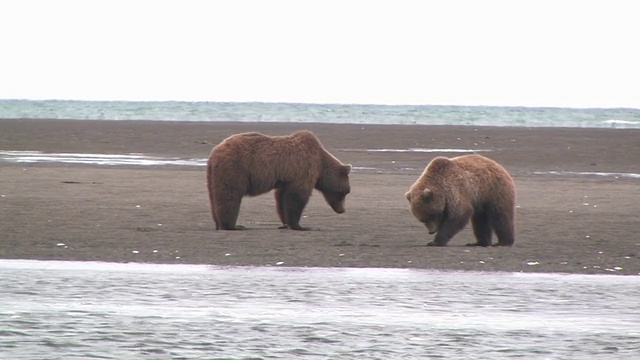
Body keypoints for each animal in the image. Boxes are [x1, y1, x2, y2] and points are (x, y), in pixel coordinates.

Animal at [206, 130, 350, 231]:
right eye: (344, 192)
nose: (342, 210)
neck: (321, 163)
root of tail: (214, 152)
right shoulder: (303, 169)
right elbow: (297, 197)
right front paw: (299, 226)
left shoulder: (286, 178)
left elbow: (282, 198)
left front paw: (285, 223)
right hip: (235, 169)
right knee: (230, 196)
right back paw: (233, 226)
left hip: (213, 175)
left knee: (214, 197)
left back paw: (219, 224)